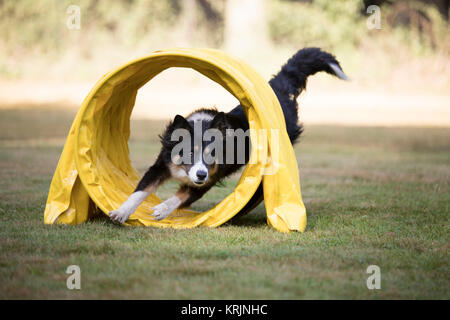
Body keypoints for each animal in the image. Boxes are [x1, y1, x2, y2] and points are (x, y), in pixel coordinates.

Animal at [109, 47, 348, 224]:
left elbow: (182, 196)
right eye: (189, 153)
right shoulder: (162, 164)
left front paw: (161, 209)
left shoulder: (209, 179)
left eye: (211, 154)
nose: (200, 174)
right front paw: (121, 212)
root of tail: (278, 91)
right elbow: (140, 190)